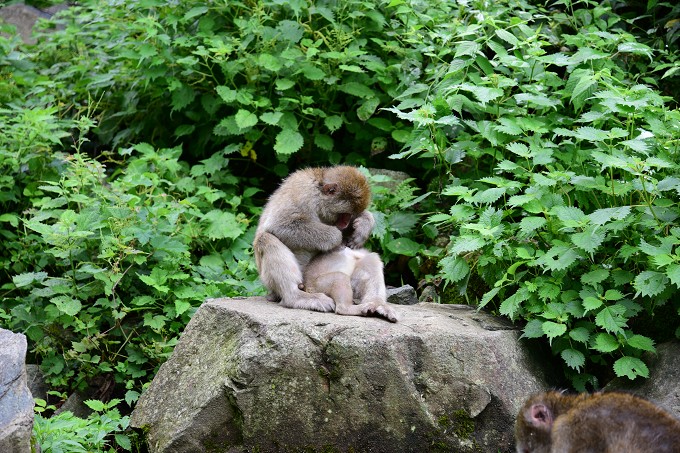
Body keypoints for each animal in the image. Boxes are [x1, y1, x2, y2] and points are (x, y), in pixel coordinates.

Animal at [255, 165, 394, 318]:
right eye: (344, 214)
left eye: (351, 215)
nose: (345, 223)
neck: (318, 193)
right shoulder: (303, 192)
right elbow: (279, 224)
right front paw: (336, 237)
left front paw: (364, 224)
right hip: (307, 283)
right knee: (266, 238)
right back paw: (297, 297)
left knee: (369, 258)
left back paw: (377, 304)